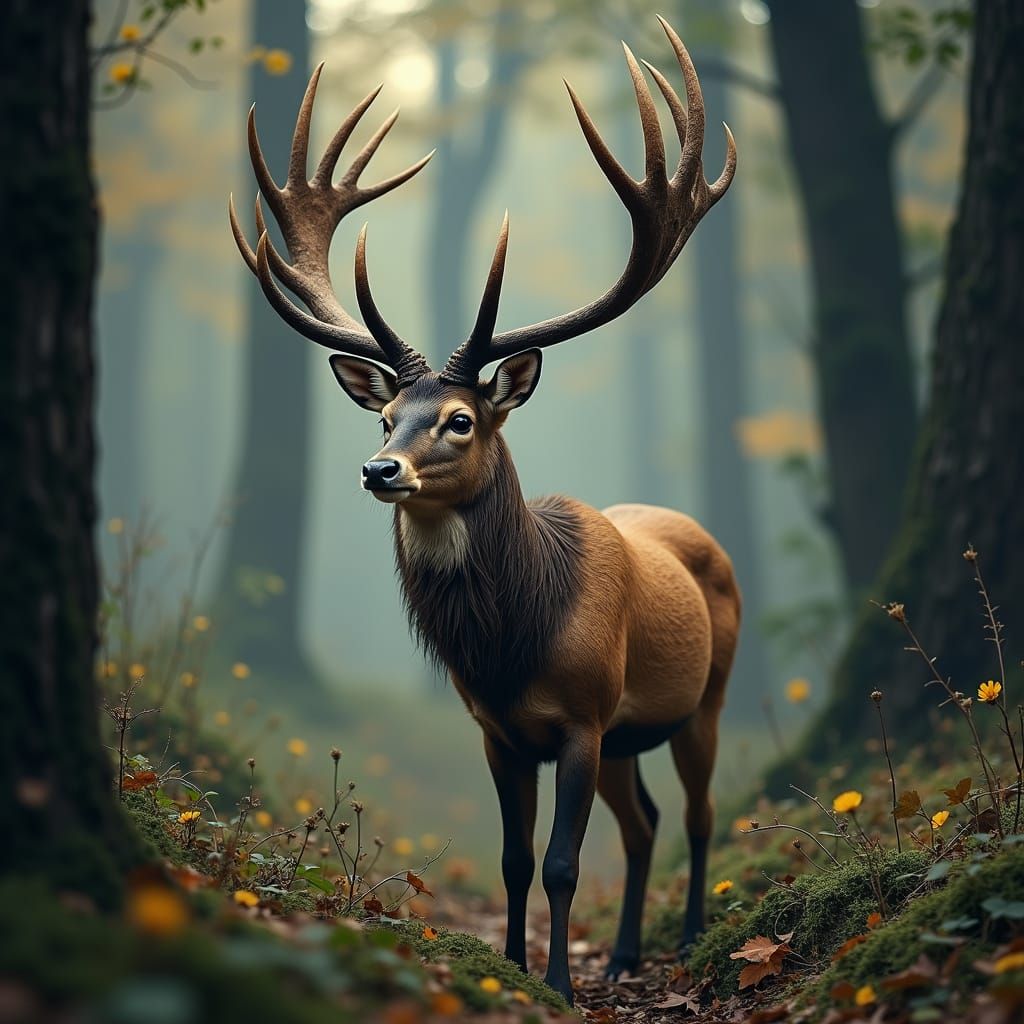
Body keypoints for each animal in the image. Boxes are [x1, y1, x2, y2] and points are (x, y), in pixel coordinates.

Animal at [230, 16, 739, 1005]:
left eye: (460, 420)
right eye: (387, 415)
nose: (377, 468)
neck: (512, 644)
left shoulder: (581, 717)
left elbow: (562, 864)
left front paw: (562, 986)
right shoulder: (500, 730)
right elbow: (511, 860)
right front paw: (514, 969)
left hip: (706, 695)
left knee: (698, 815)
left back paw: (691, 935)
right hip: (629, 734)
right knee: (647, 821)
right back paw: (627, 952)